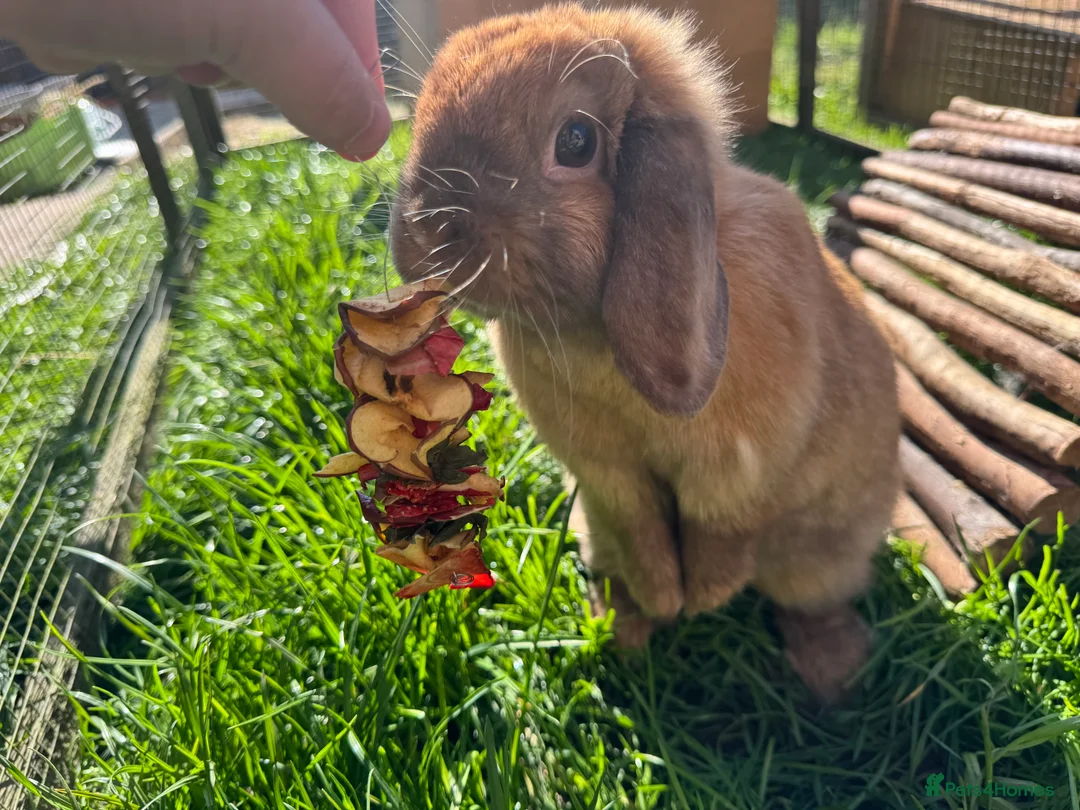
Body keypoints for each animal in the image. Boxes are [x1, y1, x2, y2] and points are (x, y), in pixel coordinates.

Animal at [389, 2, 900, 703]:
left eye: (576, 142)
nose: (424, 230)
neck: (587, 331)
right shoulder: (606, 475)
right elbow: (643, 531)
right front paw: (665, 602)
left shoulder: (738, 470)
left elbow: (720, 531)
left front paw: (702, 599)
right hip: (596, 532)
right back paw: (623, 626)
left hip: (821, 559)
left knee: (809, 600)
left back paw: (834, 676)